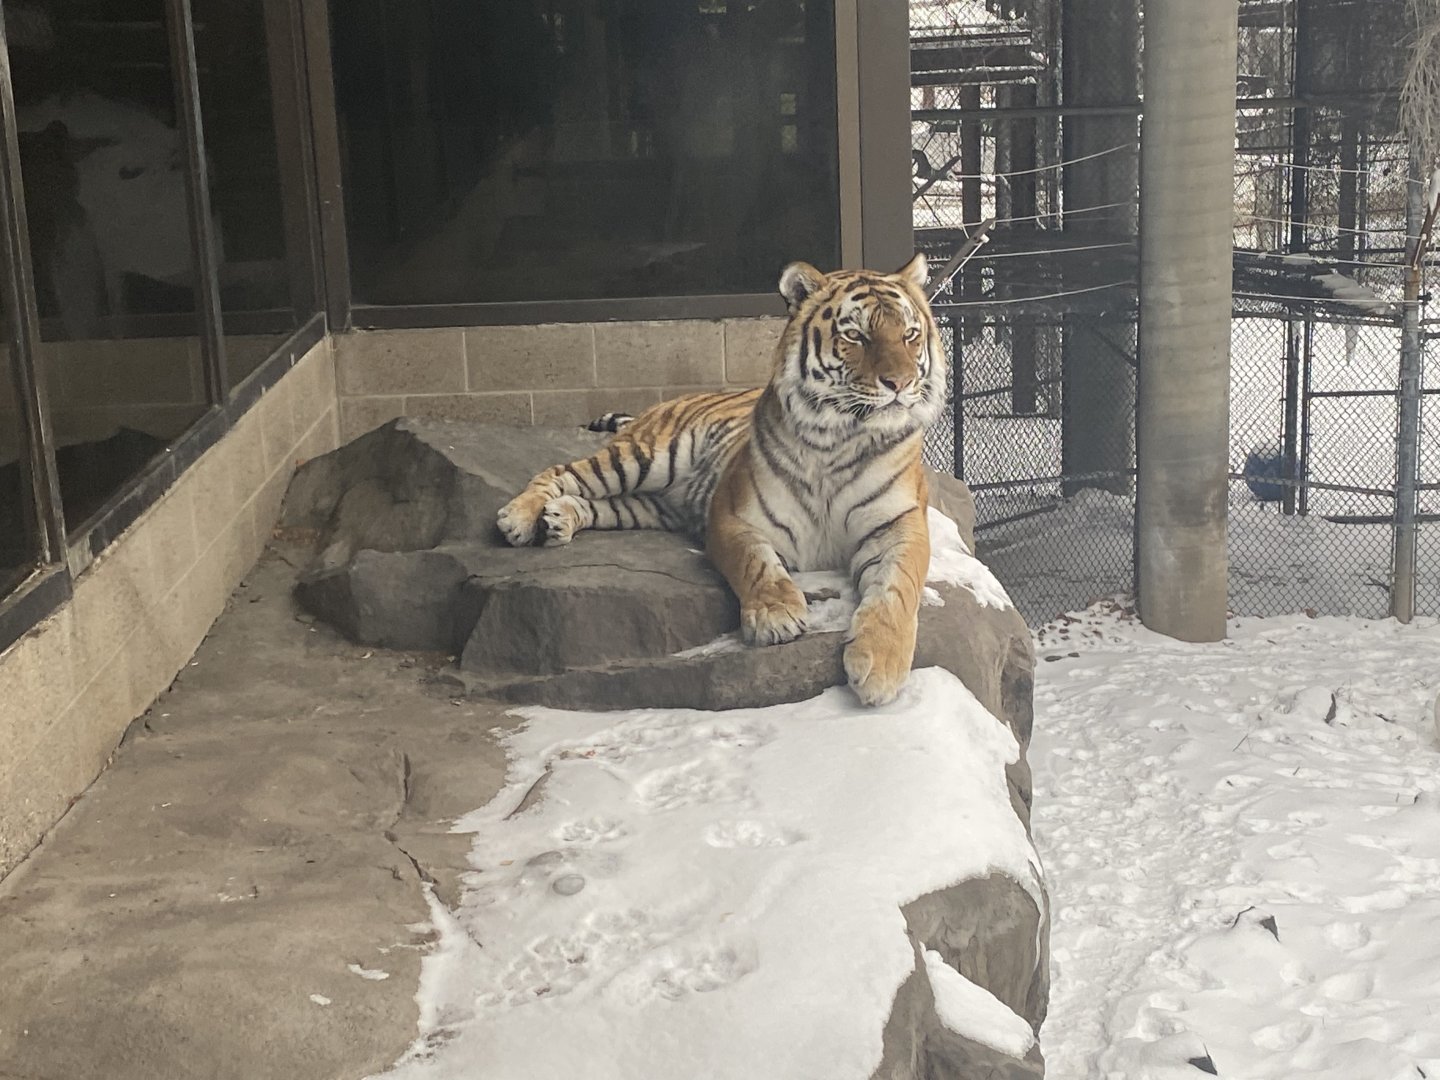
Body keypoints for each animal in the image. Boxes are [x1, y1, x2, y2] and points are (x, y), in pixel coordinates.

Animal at [496, 254, 946, 706]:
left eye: (909, 334)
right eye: (855, 335)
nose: (900, 383)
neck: (839, 439)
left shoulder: (899, 524)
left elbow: (897, 588)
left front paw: (881, 666)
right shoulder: (735, 516)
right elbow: (757, 565)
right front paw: (776, 616)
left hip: (649, 506)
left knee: (594, 503)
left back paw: (558, 520)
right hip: (644, 457)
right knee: (561, 472)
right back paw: (518, 519)